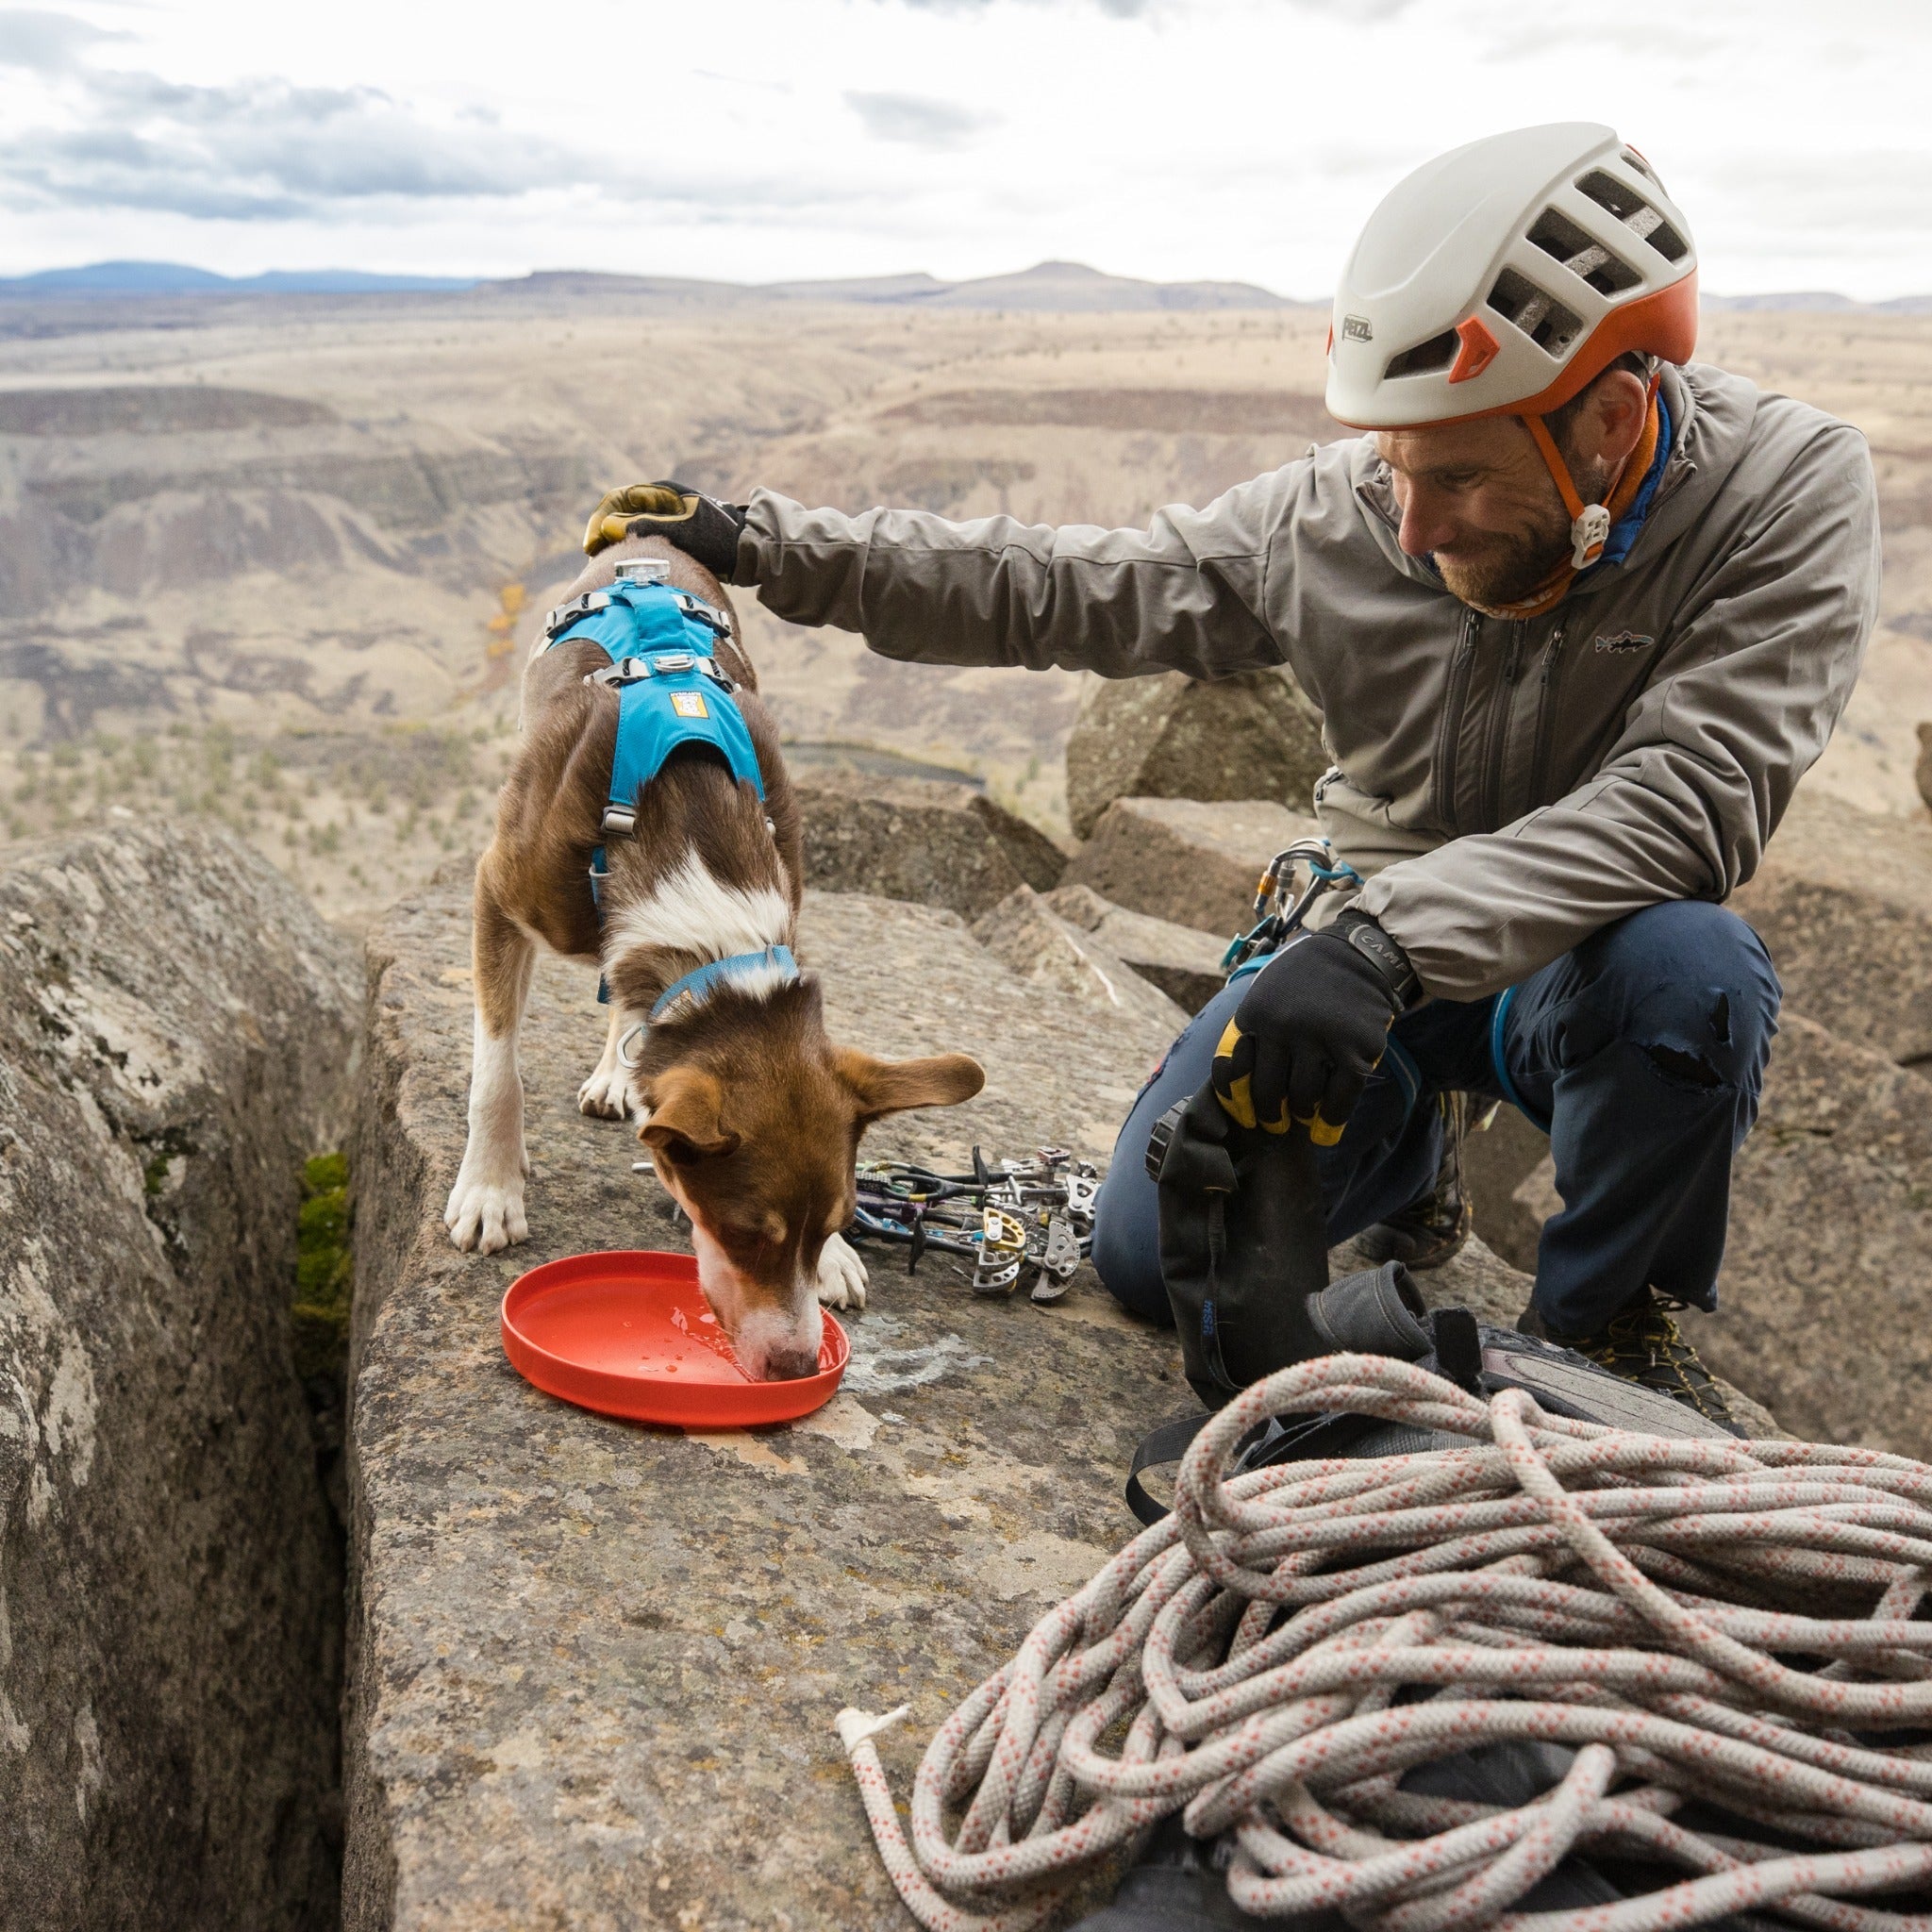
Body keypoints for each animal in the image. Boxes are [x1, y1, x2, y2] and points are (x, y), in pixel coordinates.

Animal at [438, 529, 981, 1375]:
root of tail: (647, 535)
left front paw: (835, 1264)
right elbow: (497, 1071)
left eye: (837, 1220)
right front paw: (492, 1188)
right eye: (741, 1233)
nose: (798, 1366)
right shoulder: (498, 889)